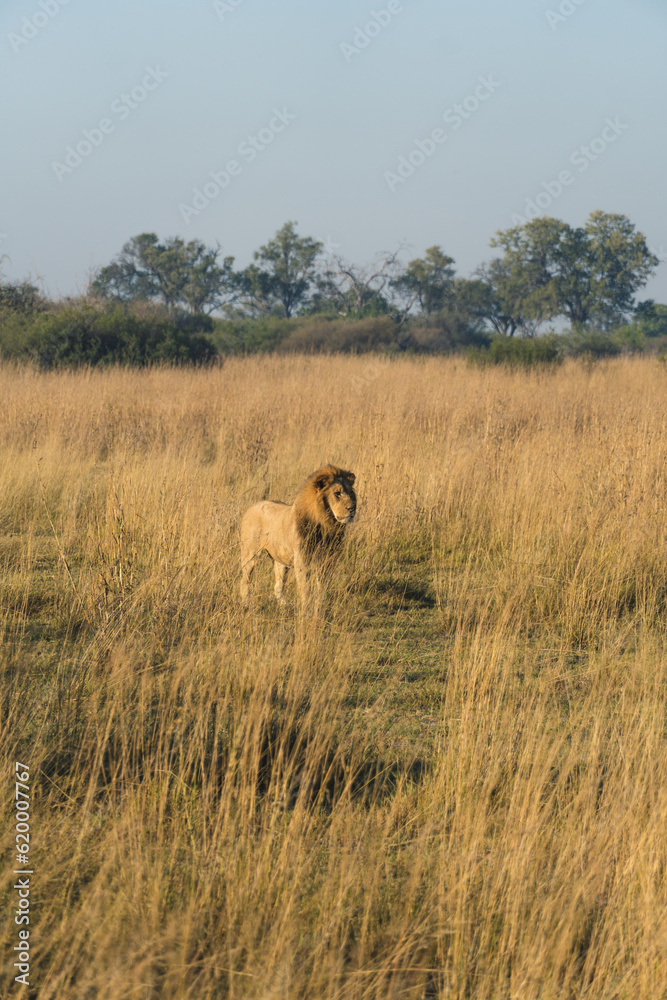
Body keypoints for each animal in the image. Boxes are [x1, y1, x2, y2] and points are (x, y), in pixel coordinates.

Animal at [240, 465, 357, 608]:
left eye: (351, 492)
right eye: (337, 494)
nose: (352, 508)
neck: (325, 524)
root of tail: (251, 507)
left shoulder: (329, 558)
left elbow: (323, 585)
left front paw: (320, 605)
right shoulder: (302, 557)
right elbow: (305, 587)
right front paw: (306, 608)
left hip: (280, 560)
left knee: (278, 587)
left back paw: (285, 606)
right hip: (251, 555)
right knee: (244, 581)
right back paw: (246, 604)